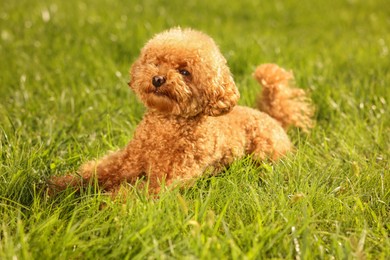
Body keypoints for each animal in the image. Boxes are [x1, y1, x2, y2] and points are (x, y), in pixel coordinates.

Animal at [48, 27, 316, 194]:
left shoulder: (169, 178)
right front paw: (56, 187)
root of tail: (274, 119)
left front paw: (105, 206)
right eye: (156, 62)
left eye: (185, 72)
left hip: (265, 154)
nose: (158, 79)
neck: (166, 127)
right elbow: (91, 173)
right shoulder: (125, 162)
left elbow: (134, 195)